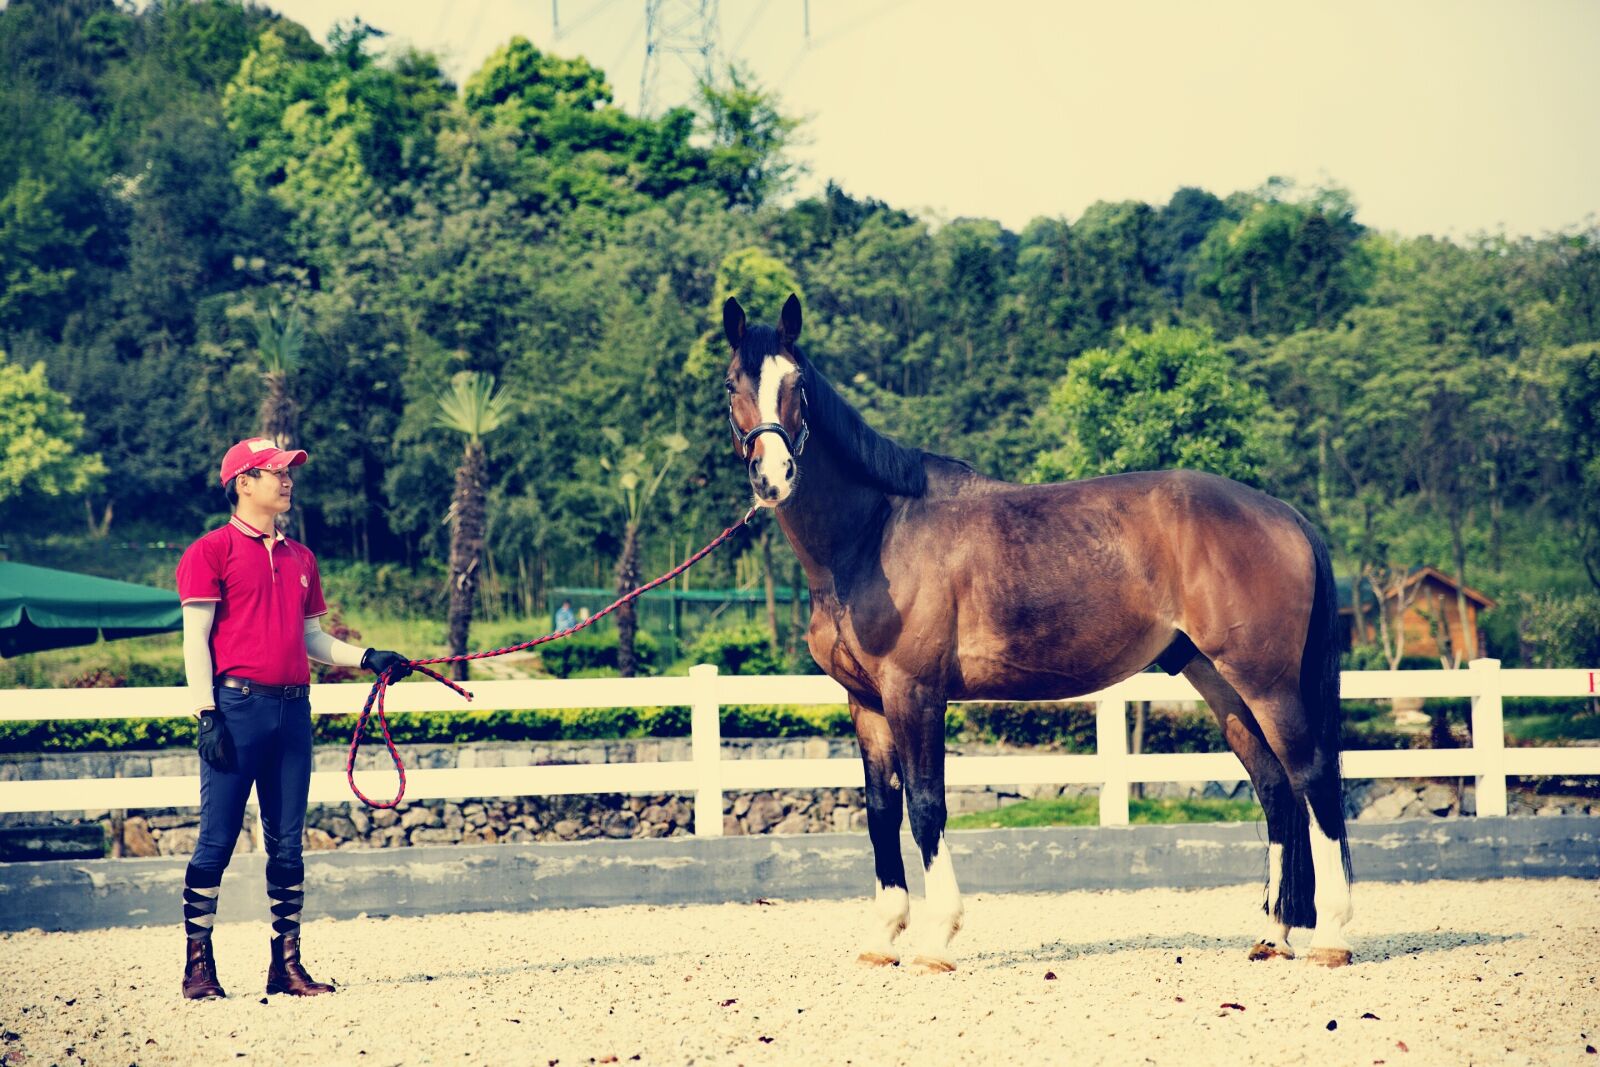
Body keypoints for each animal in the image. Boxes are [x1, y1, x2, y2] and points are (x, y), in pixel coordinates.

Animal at [720, 293, 1354, 972]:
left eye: (798, 384)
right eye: (732, 384)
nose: (773, 476)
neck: (874, 533)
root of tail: (1283, 512)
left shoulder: (915, 693)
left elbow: (925, 805)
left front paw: (937, 939)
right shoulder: (865, 701)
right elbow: (881, 808)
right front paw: (882, 938)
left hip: (1267, 683)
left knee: (1313, 779)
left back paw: (1332, 936)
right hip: (1219, 682)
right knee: (1275, 787)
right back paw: (1274, 934)